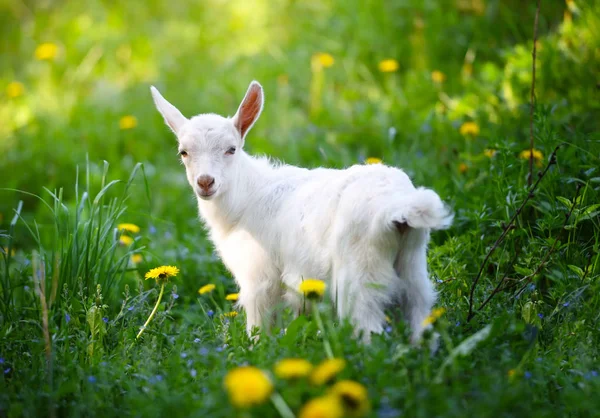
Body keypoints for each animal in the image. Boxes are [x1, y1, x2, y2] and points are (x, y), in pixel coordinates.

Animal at [150, 79, 450, 342]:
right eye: (183, 152)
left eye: (231, 149)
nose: (205, 182)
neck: (246, 199)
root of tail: (396, 208)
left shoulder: (260, 278)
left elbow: (259, 330)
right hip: (413, 272)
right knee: (422, 327)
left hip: (360, 276)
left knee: (368, 331)